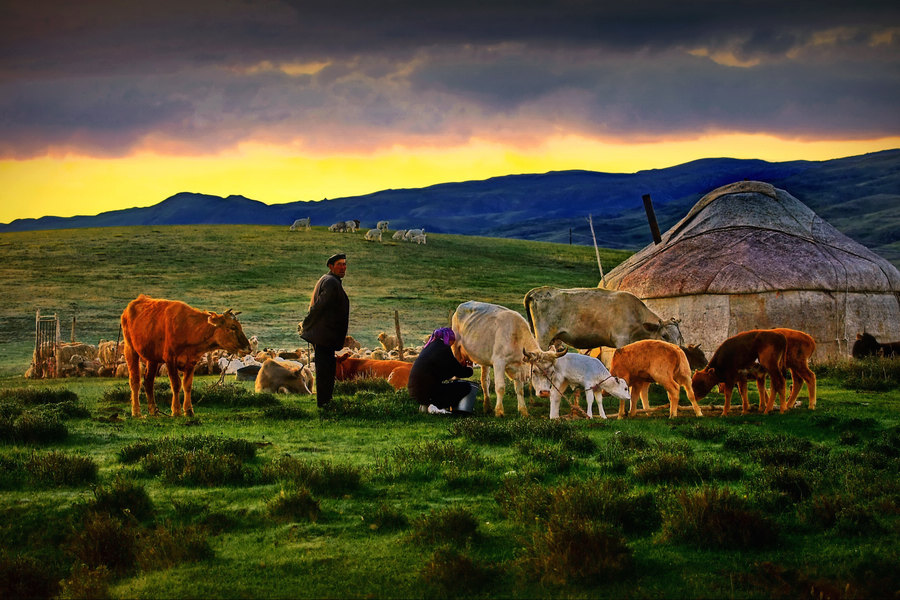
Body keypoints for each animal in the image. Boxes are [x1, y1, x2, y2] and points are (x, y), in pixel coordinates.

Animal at [119, 296, 251, 418]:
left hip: (152, 358)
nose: (248, 348)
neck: (188, 328)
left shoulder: (191, 362)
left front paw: (188, 410)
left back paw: (153, 411)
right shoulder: (170, 359)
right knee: (135, 381)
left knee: (148, 381)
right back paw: (136, 412)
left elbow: (187, 385)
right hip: (130, 349)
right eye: (233, 327)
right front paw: (176, 410)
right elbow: (176, 384)